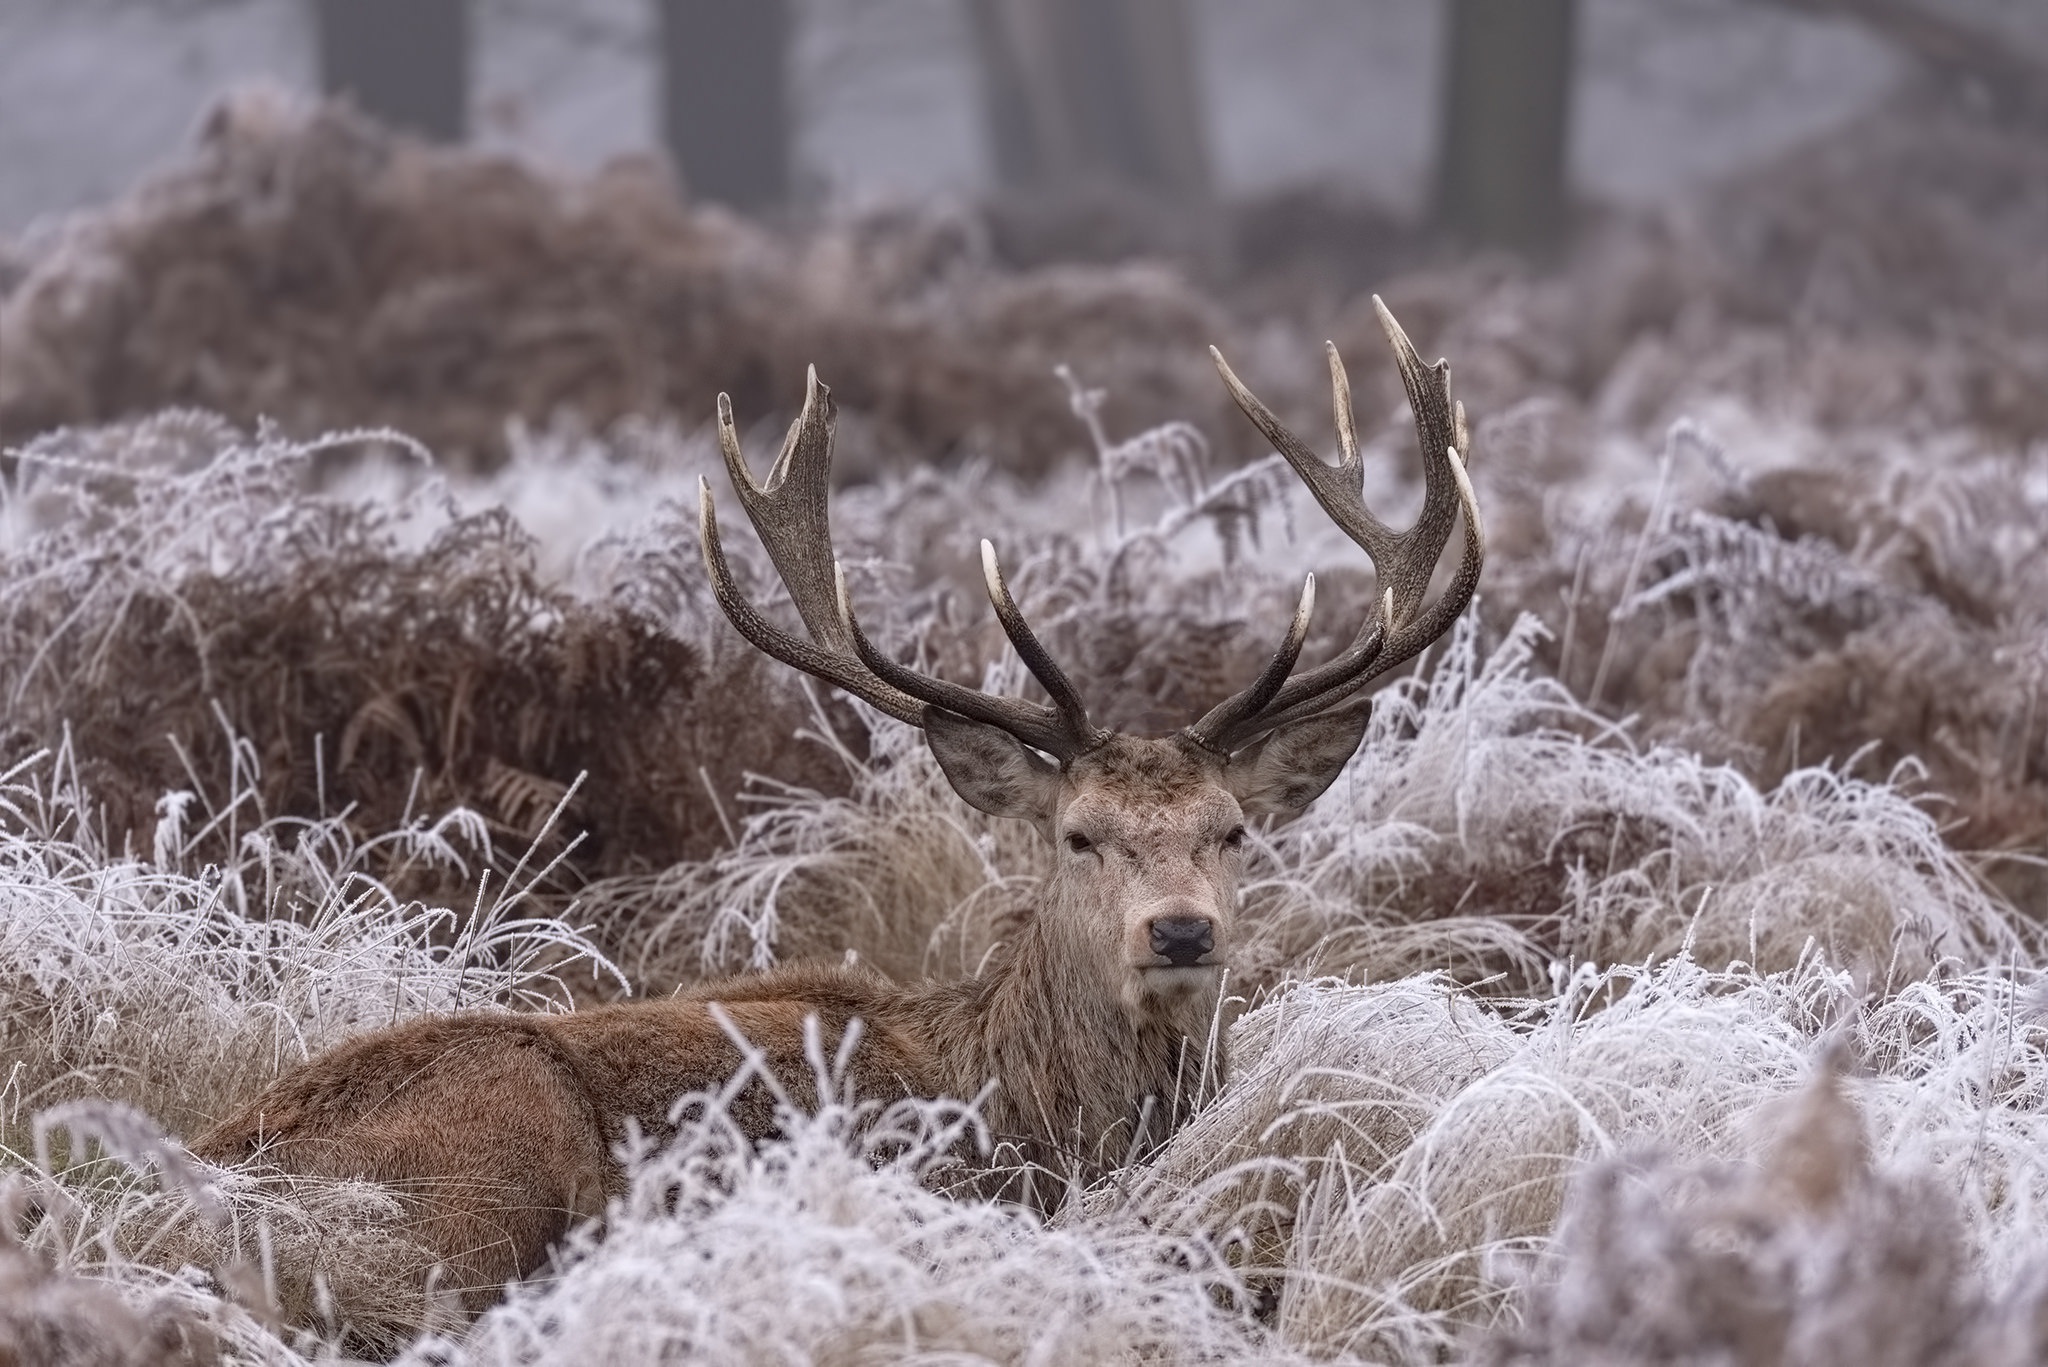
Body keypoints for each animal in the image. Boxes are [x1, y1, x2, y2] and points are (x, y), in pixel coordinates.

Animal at [192, 299, 1482, 1311]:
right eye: (1077, 835)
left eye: (1232, 827)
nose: (1178, 928)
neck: (1027, 1112)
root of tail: (200, 1183)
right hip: (492, 1158)